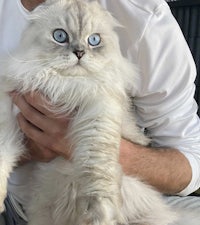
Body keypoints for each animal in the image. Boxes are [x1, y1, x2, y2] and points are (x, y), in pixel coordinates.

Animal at [0, 0, 198, 225]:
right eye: (60, 36)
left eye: (94, 40)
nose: (79, 53)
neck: (65, 85)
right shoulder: (9, 112)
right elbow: (4, 156)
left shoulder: (99, 113)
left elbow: (96, 176)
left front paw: (99, 215)